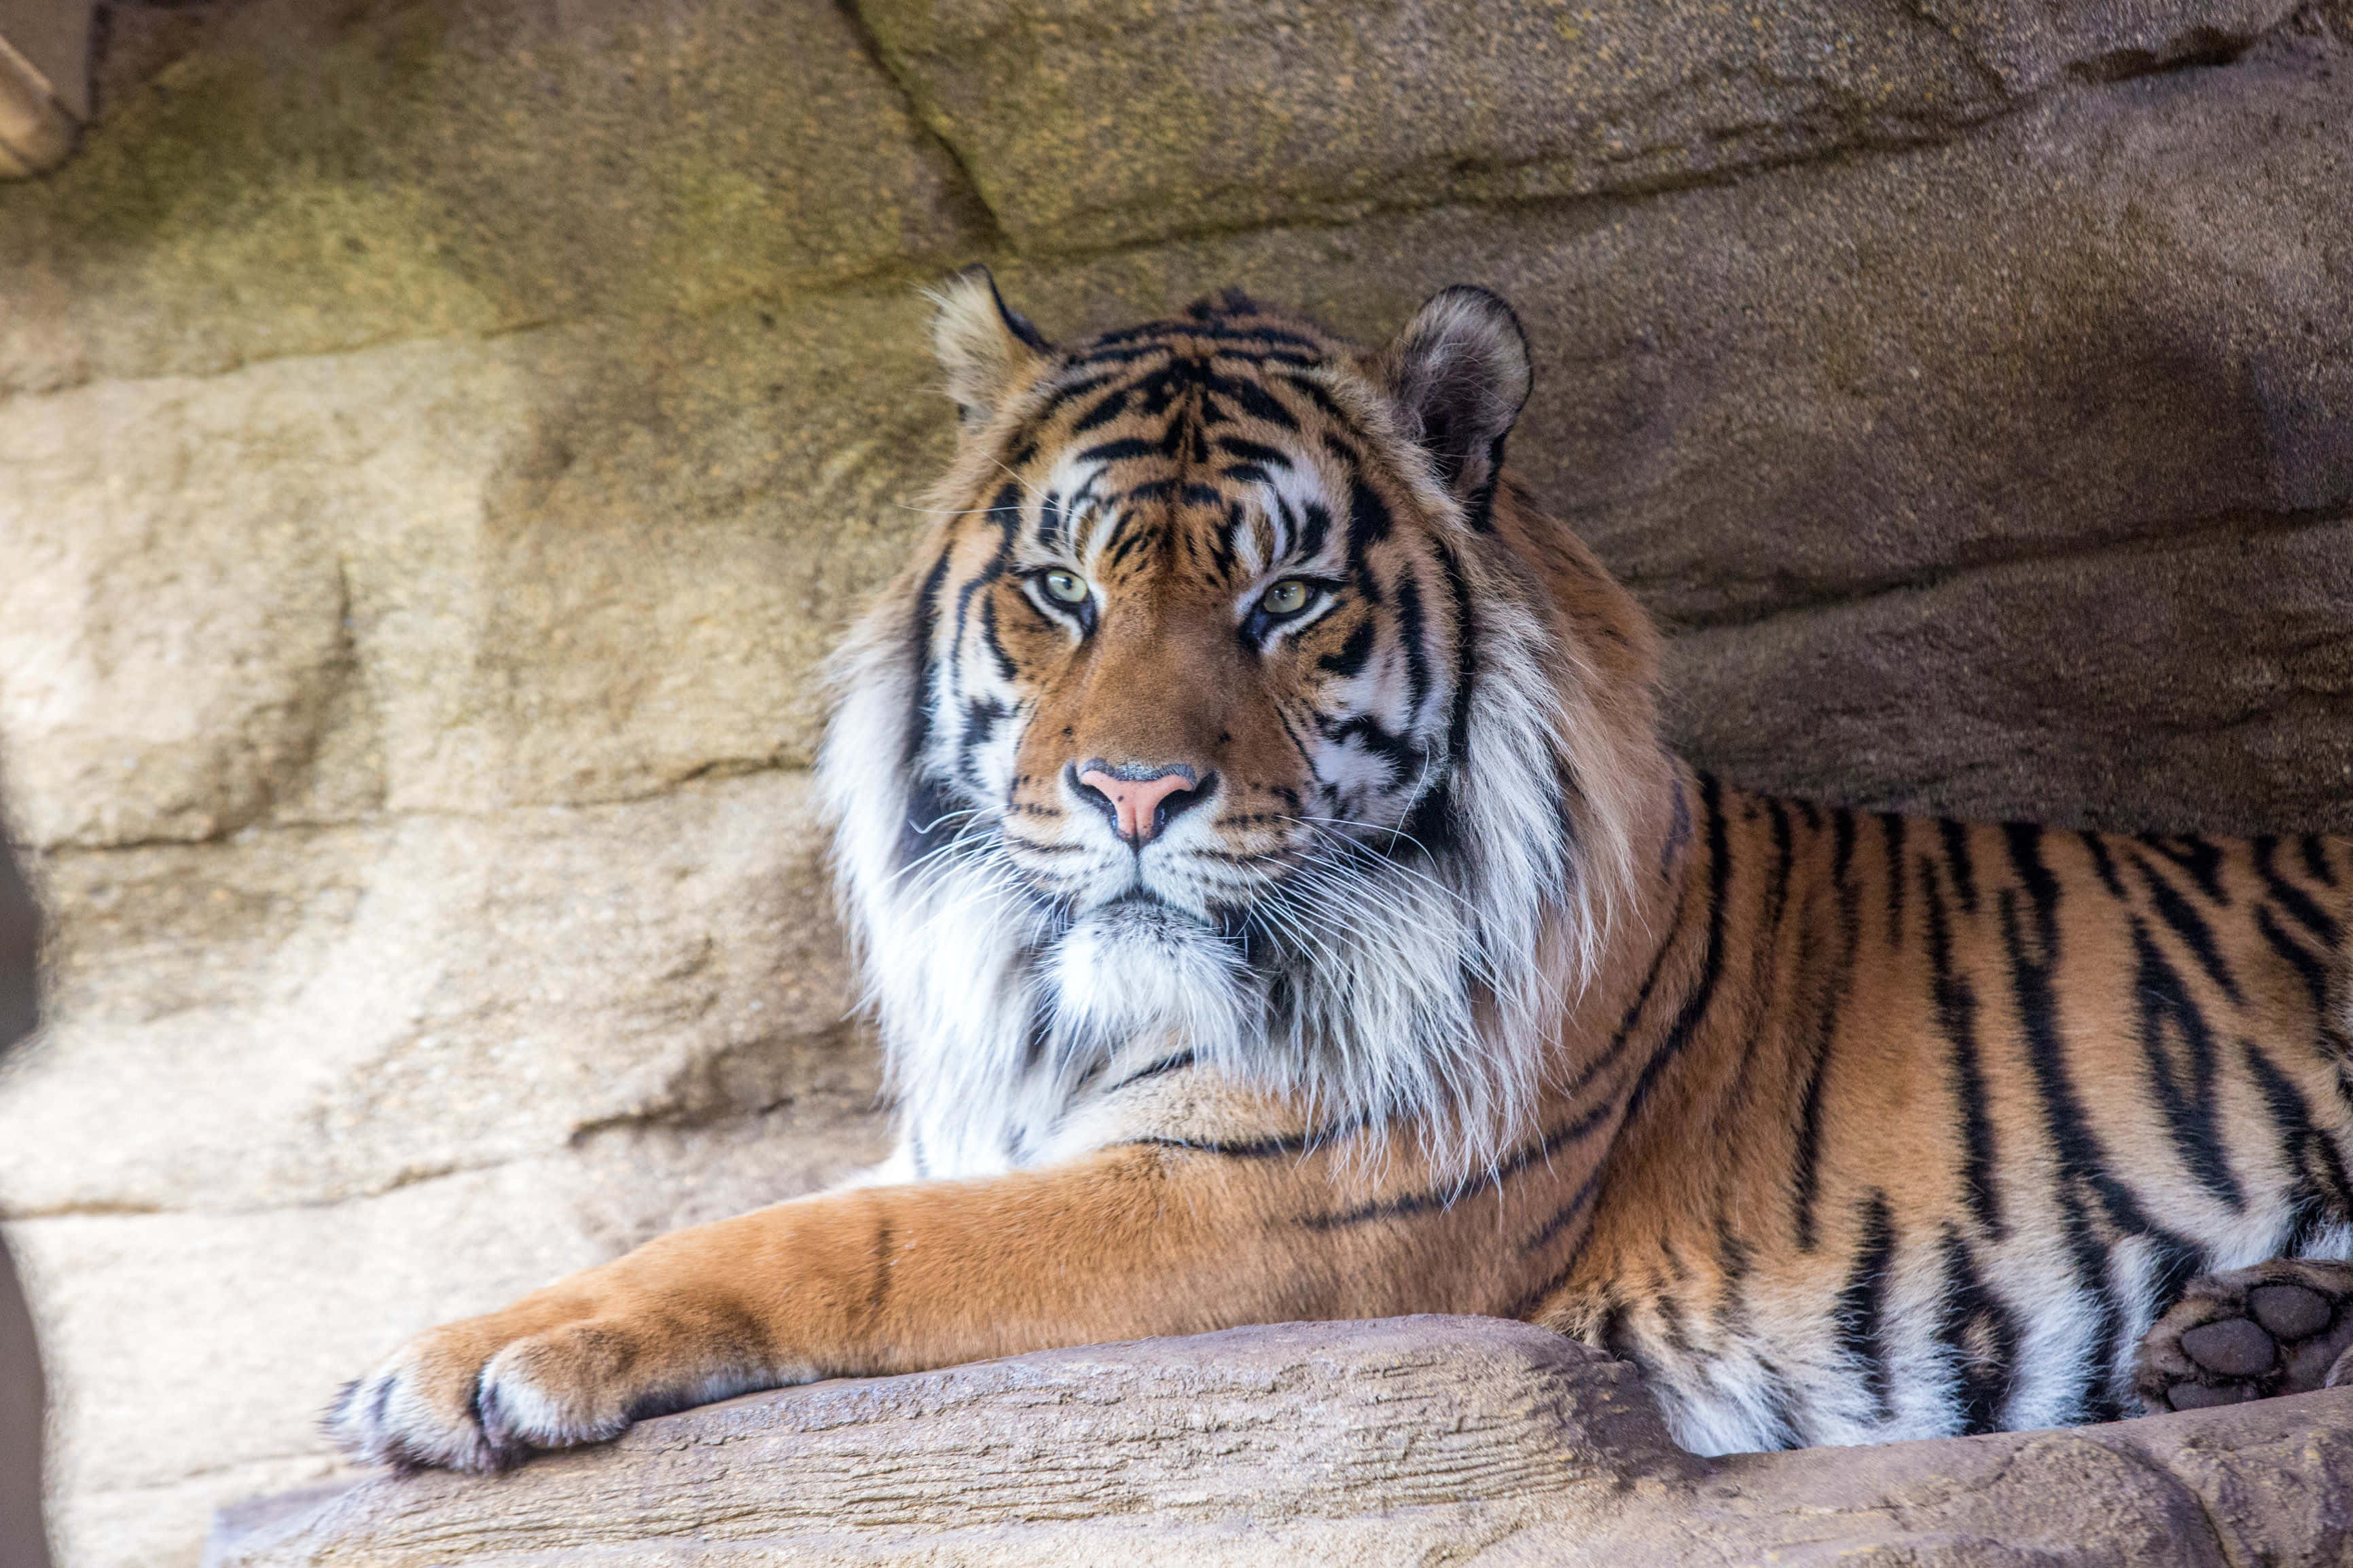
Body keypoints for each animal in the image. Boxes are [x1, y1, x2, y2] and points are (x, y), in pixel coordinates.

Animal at [329, 271, 2353, 1473]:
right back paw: (2245, 1334)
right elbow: (727, 1213)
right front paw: (443, 1346)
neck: (1072, 1010)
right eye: (1058, 587)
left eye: (1286, 599)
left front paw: (459, 1368)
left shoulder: (1252, 1201)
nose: (1133, 791)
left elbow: (833, 1243)